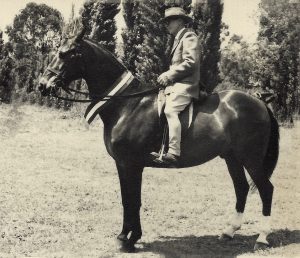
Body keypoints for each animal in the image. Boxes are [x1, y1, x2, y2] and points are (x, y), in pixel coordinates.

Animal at [38, 30, 280, 252]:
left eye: (66, 53)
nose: (42, 85)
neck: (126, 105)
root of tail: (260, 102)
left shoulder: (131, 164)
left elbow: (133, 200)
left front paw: (129, 239)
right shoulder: (122, 164)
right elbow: (127, 199)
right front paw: (125, 236)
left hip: (251, 159)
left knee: (266, 189)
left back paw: (262, 238)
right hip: (232, 158)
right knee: (241, 188)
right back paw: (229, 232)